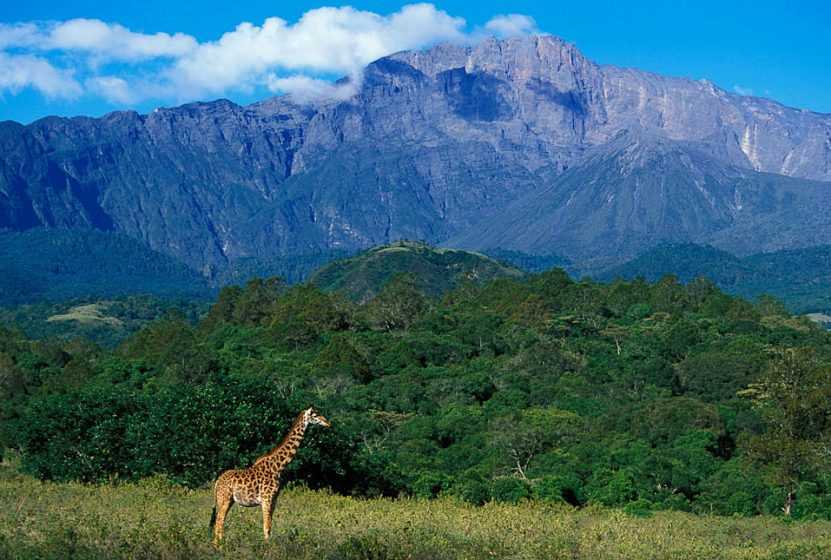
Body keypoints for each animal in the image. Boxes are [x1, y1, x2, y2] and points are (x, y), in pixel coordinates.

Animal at [208, 406, 332, 548]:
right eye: (315, 415)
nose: (328, 423)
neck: (278, 467)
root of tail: (217, 481)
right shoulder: (266, 498)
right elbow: (266, 526)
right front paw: (267, 548)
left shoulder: (274, 499)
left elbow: (270, 526)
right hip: (224, 498)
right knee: (219, 521)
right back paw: (219, 546)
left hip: (228, 500)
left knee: (218, 521)